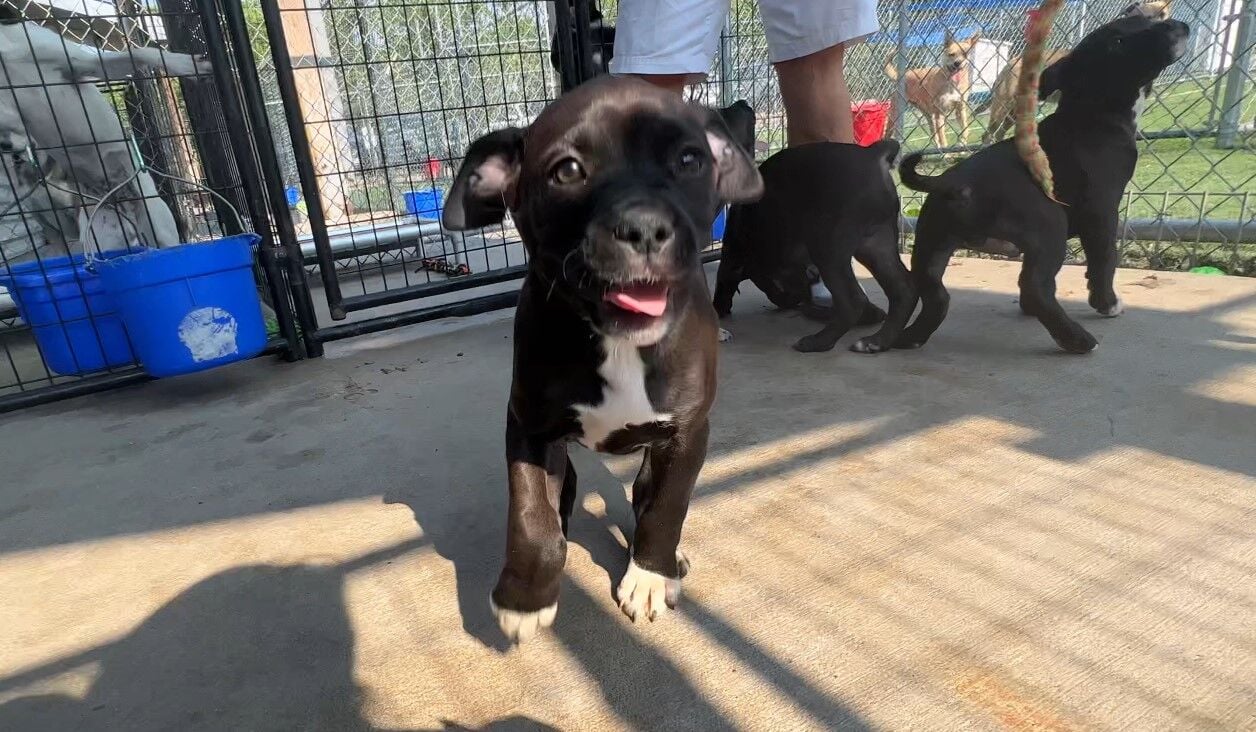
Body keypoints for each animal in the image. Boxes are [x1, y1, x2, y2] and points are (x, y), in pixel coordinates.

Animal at [447, 73, 768, 642]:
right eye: (568, 170)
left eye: (690, 160)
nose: (644, 228)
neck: (617, 343)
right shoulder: (528, 426)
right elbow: (530, 516)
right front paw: (525, 598)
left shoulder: (688, 433)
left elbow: (667, 507)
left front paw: (649, 577)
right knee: (564, 501)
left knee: (645, 495)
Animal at [894, 13, 1185, 351]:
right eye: (1118, 41)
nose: (1175, 25)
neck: (1091, 110)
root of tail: (956, 186)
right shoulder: (1102, 211)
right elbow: (1104, 259)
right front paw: (1107, 304)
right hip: (1050, 223)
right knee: (1035, 287)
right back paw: (1077, 340)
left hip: (931, 243)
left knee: (937, 295)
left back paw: (911, 337)